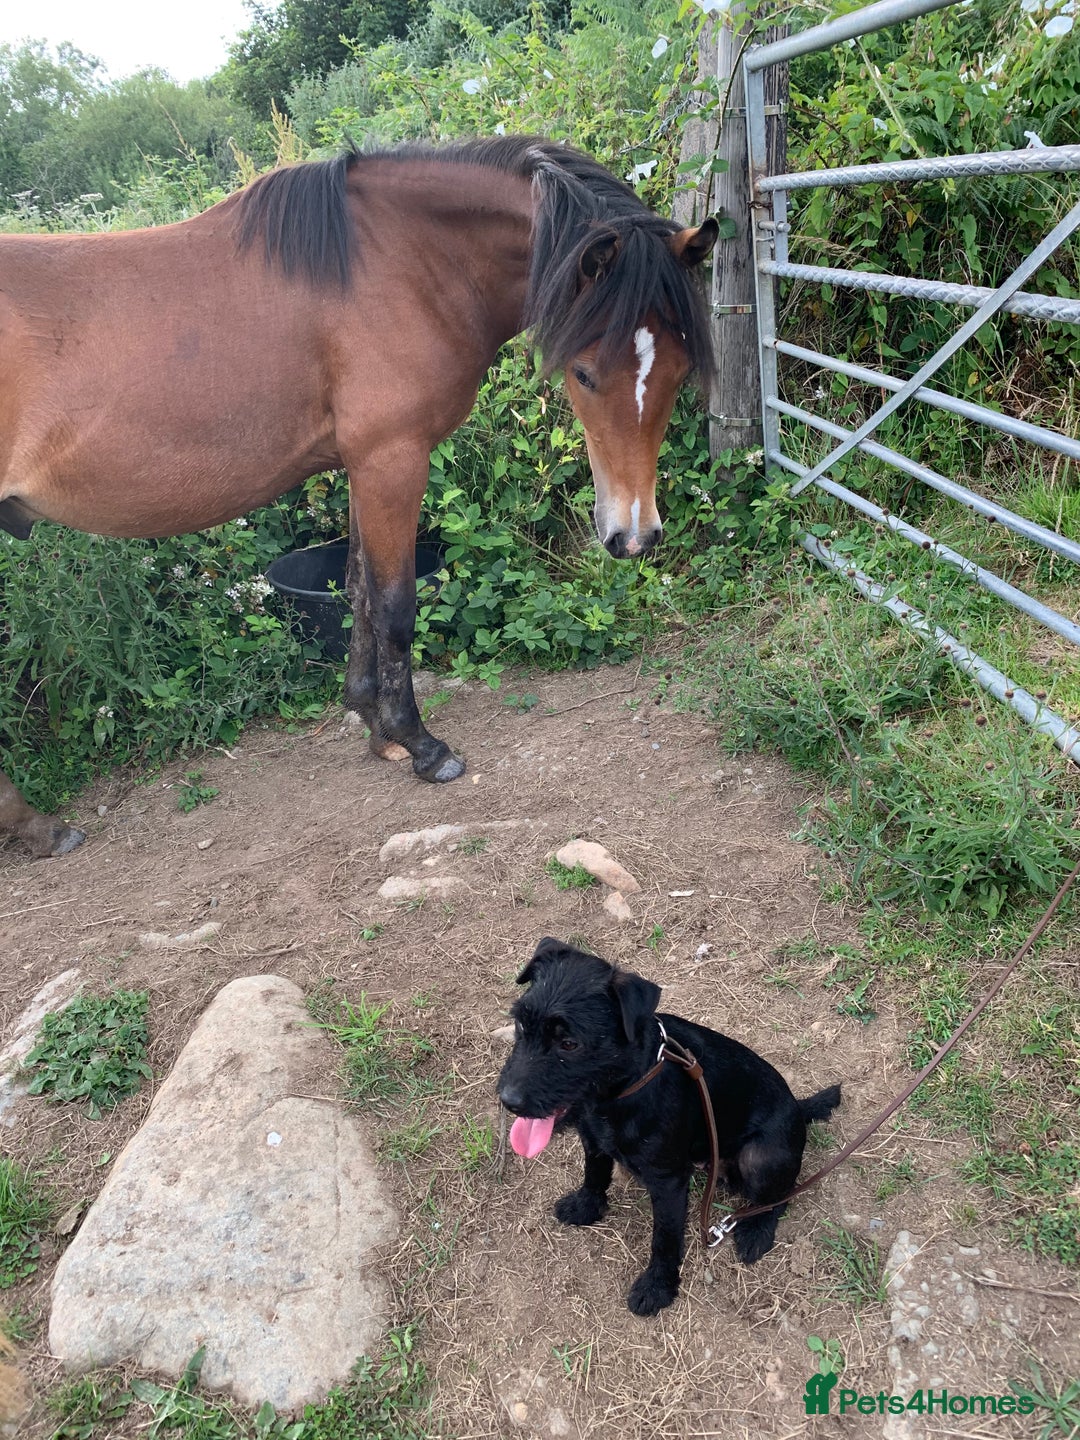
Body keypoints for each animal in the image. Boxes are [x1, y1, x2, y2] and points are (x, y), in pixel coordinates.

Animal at [0, 136, 717, 859]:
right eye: (585, 372)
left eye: (680, 369)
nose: (635, 535)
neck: (404, 263)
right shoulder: (391, 459)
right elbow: (395, 605)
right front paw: (420, 744)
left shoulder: (359, 464)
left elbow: (359, 591)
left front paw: (375, 725)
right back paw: (39, 827)